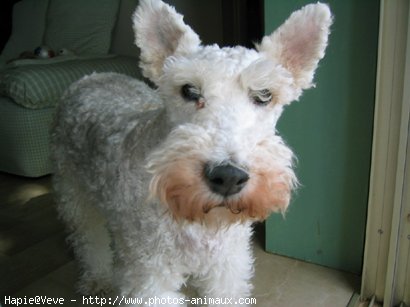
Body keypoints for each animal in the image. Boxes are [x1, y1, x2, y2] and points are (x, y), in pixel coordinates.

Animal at [52, 1, 334, 306]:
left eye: (264, 94)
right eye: (188, 90)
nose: (228, 177)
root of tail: (90, 77)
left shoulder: (227, 267)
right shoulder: (150, 276)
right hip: (73, 194)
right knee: (89, 241)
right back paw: (98, 280)